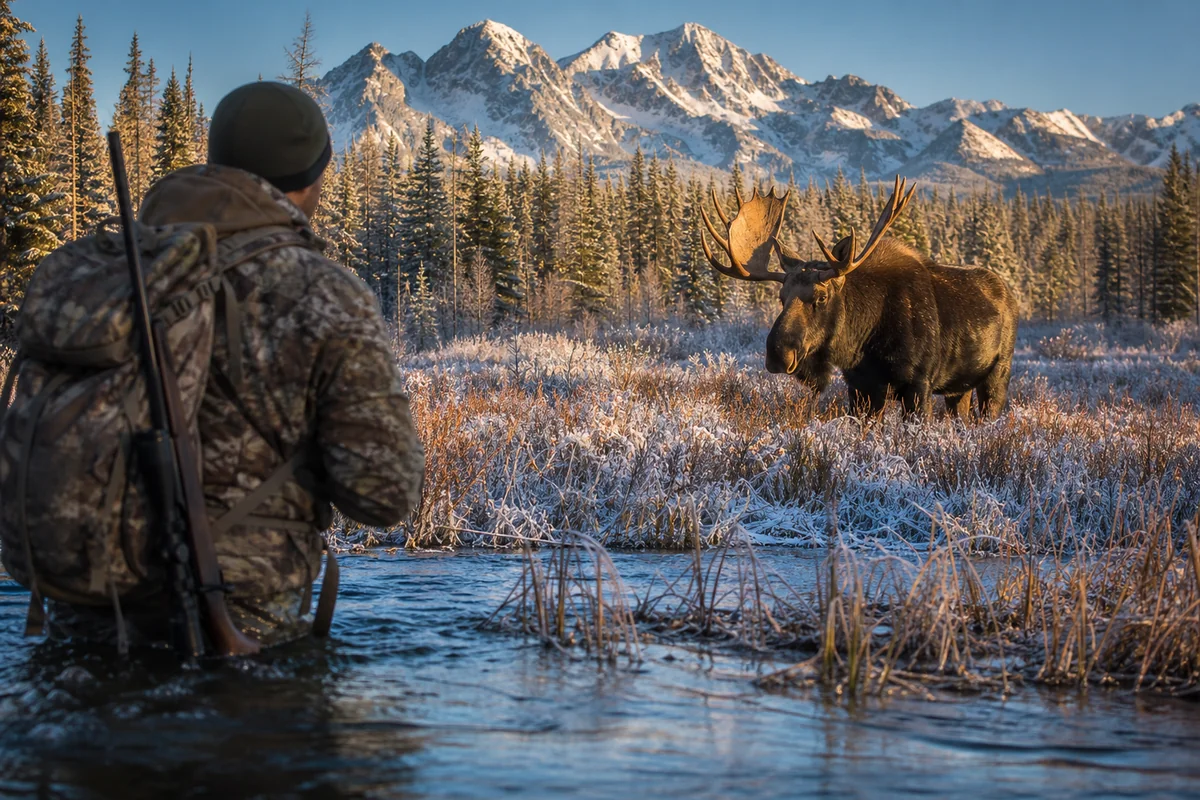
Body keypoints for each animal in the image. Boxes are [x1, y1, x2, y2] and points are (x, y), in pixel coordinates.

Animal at [700, 177, 1018, 420]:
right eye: (781, 297)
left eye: (821, 297)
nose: (778, 353)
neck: (862, 342)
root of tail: (1009, 296)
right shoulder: (860, 387)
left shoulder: (919, 384)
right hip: (958, 387)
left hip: (998, 375)